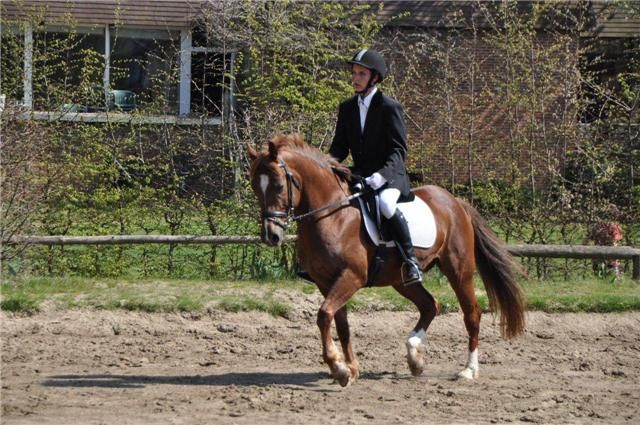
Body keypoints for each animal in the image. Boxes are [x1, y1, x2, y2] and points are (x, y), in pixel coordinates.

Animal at [247, 133, 525, 387]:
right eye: (255, 187)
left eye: (279, 185)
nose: (271, 236)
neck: (332, 215)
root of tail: (455, 202)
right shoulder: (327, 282)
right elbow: (341, 323)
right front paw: (351, 370)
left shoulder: (352, 277)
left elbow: (324, 315)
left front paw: (338, 368)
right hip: (401, 280)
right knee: (430, 305)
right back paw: (414, 358)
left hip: (459, 270)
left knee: (471, 314)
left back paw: (468, 370)